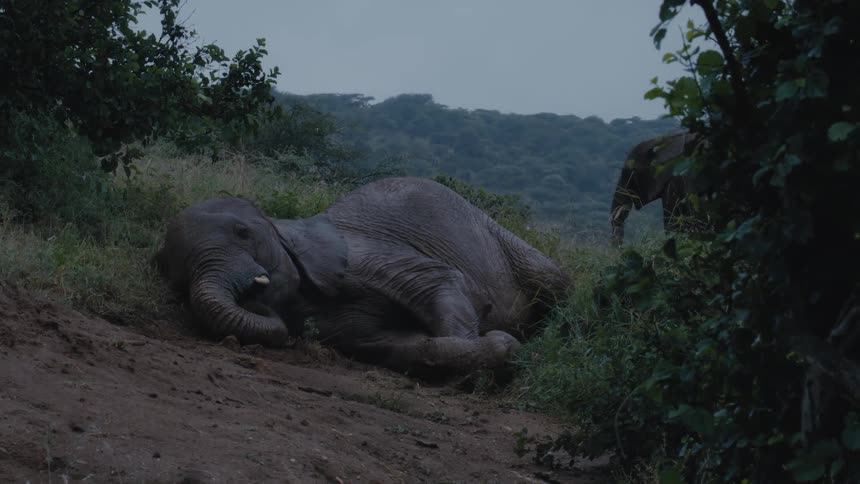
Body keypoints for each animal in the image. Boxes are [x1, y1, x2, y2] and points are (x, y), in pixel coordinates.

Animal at [156, 176, 570, 377]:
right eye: (178, 279)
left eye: (243, 234)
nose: (255, 294)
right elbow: (397, 346)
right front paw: (499, 348)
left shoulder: (366, 256)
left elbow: (442, 283)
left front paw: (499, 348)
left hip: (500, 234)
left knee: (554, 281)